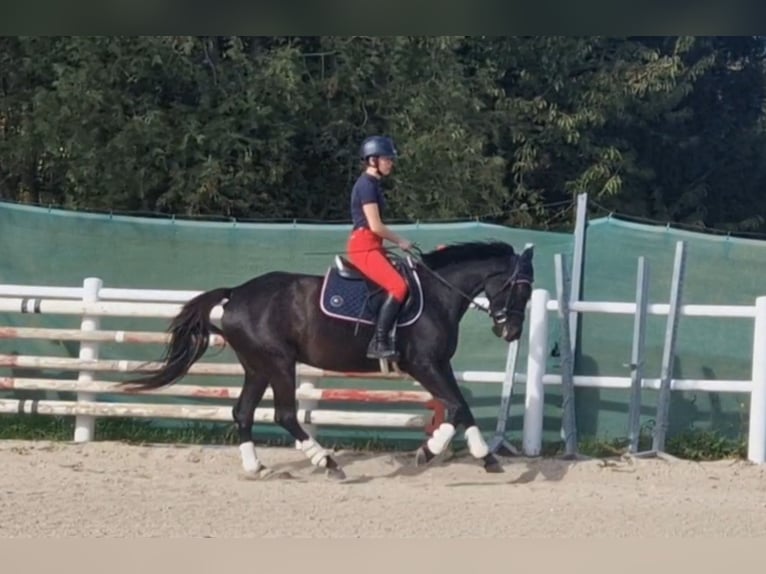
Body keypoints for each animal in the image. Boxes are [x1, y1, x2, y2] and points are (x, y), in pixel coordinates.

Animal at [123, 241, 536, 480]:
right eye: (520, 288)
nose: (512, 332)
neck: (436, 294)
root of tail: (237, 293)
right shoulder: (423, 365)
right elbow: (454, 406)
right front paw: (436, 453)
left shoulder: (440, 365)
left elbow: (459, 406)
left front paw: (474, 455)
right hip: (279, 363)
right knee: (285, 415)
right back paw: (326, 462)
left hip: (257, 366)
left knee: (243, 413)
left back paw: (257, 467)